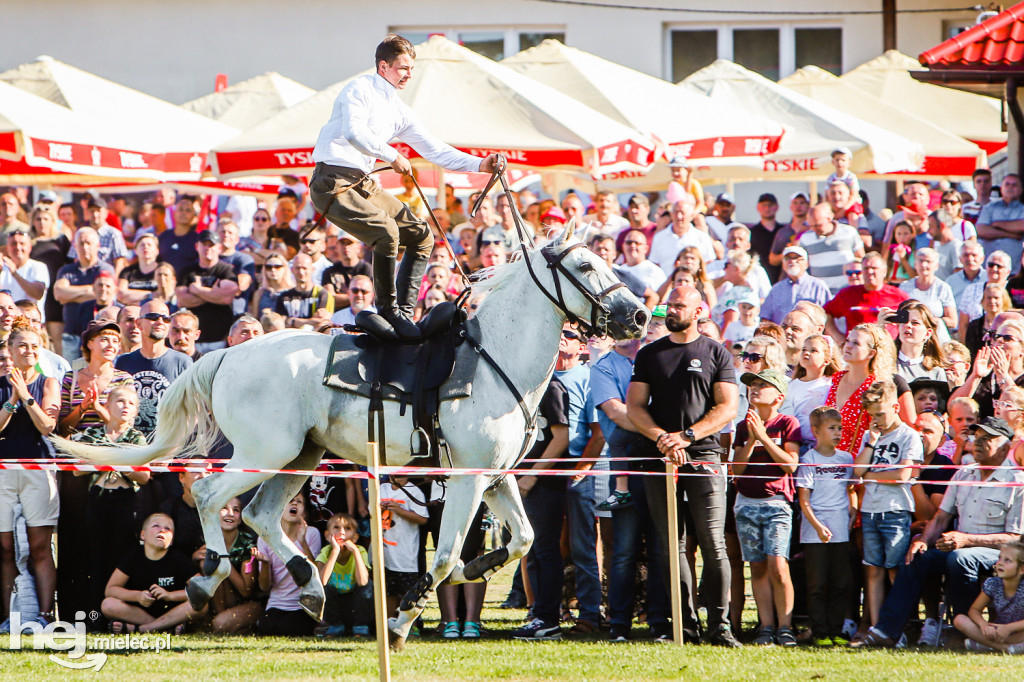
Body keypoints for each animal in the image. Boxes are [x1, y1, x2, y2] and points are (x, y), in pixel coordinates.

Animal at [51, 224, 643, 647]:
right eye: (585, 265)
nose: (637, 316)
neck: (496, 357)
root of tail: (226, 355)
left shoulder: (496, 479)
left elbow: (522, 539)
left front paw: (476, 568)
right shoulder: (469, 479)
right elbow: (446, 556)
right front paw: (402, 622)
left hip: (300, 456)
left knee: (259, 514)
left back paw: (307, 584)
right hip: (266, 453)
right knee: (210, 495)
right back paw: (208, 578)